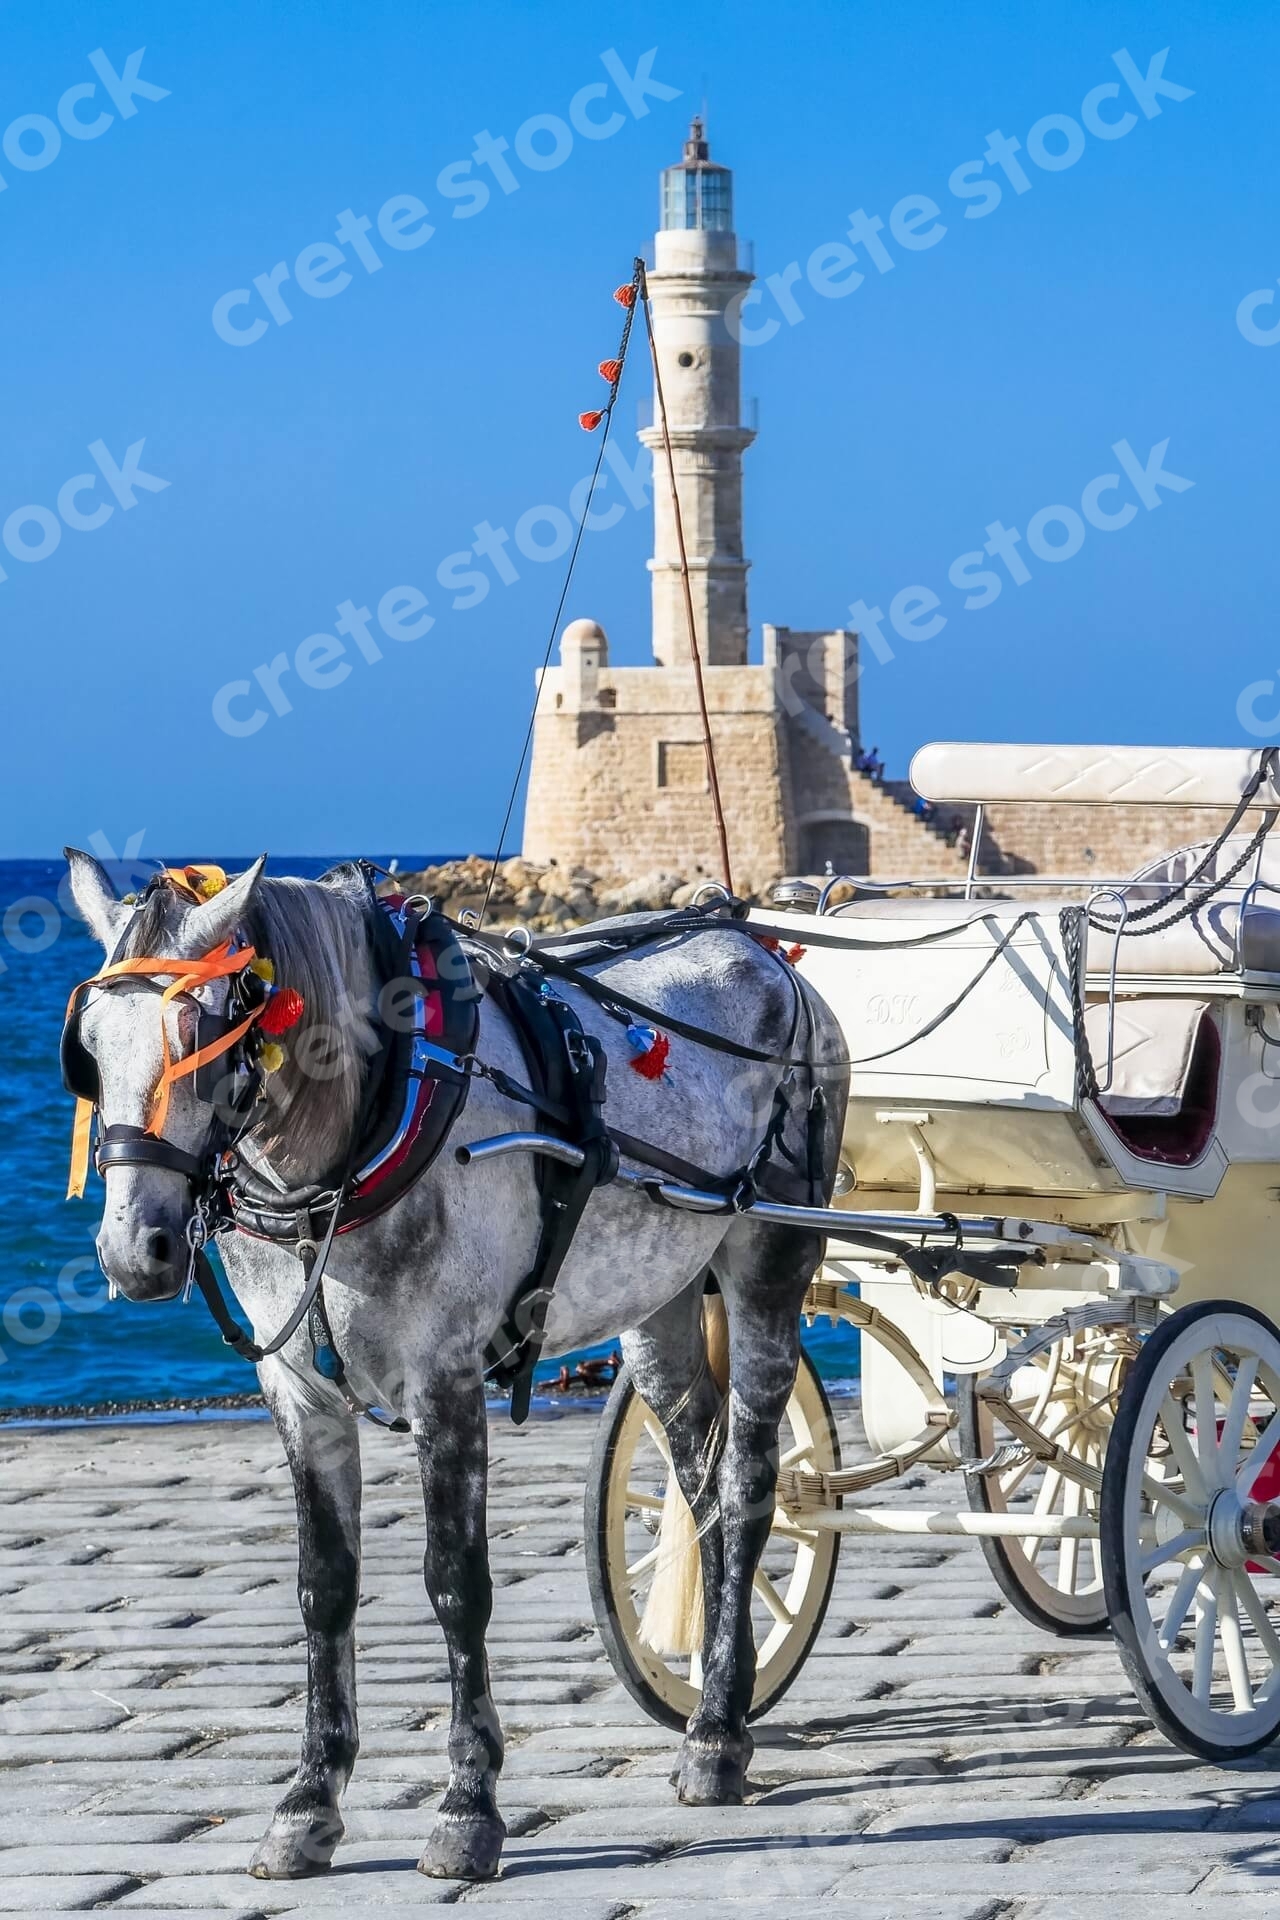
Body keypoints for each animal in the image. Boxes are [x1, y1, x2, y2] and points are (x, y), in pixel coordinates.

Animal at [62, 852, 852, 1873]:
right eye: (89, 1049)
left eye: (201, 1035)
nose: (137, 1252)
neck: (367, 1119)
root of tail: (762, 949)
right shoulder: (301, 1395)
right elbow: (325, 1588)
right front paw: (309, 1800)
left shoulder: (444, 1382)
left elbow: (455, 1585)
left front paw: (468, 1803)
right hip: (662, 1297)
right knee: (702, 1480)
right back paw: (727, 1700)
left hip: (769, 1259)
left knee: (751, 1482)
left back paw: (716, 1737)